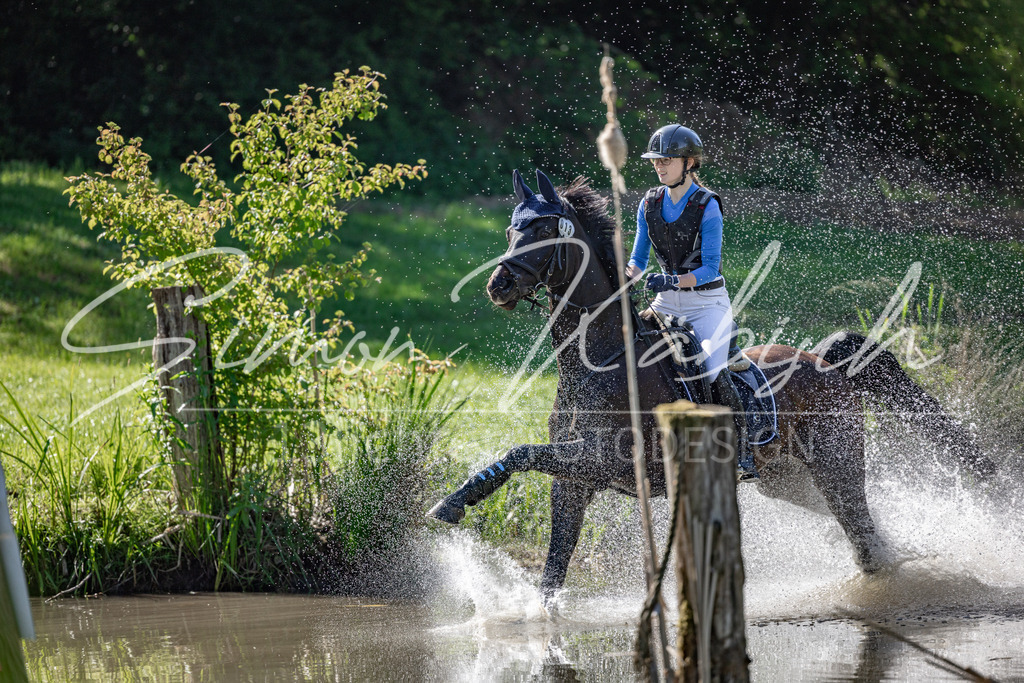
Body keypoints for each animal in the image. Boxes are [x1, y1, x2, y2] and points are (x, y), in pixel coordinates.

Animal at [428, 169, 995, 600]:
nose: (498, 285)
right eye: (511, 232)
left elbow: (521, 452)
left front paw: (452, 503)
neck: (600, 360)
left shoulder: (604, 461)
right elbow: (551, 570)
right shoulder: (573, 481)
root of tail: (825, 363)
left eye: (546, 233)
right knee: (861, 529)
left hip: (836, 465)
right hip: (785, 480)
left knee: (862, 529)